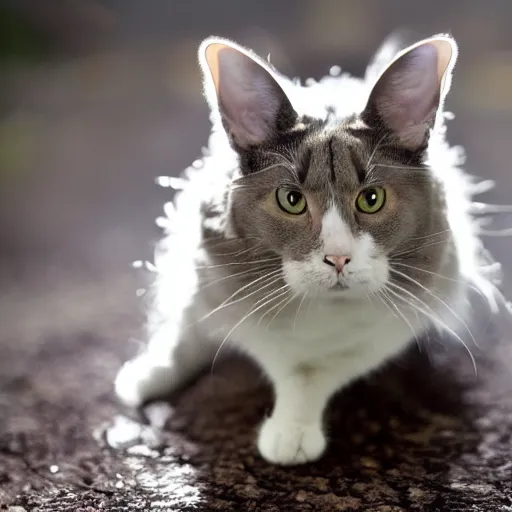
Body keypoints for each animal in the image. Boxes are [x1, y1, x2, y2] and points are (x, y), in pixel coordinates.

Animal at [115, 31, 504, 464]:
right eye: (291, 200)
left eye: (372, 199)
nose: (338, 258)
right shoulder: (201, 279)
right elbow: (183, 336)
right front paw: (145, 377)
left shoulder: (385, 331)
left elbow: (308, 374)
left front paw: (290, 435)